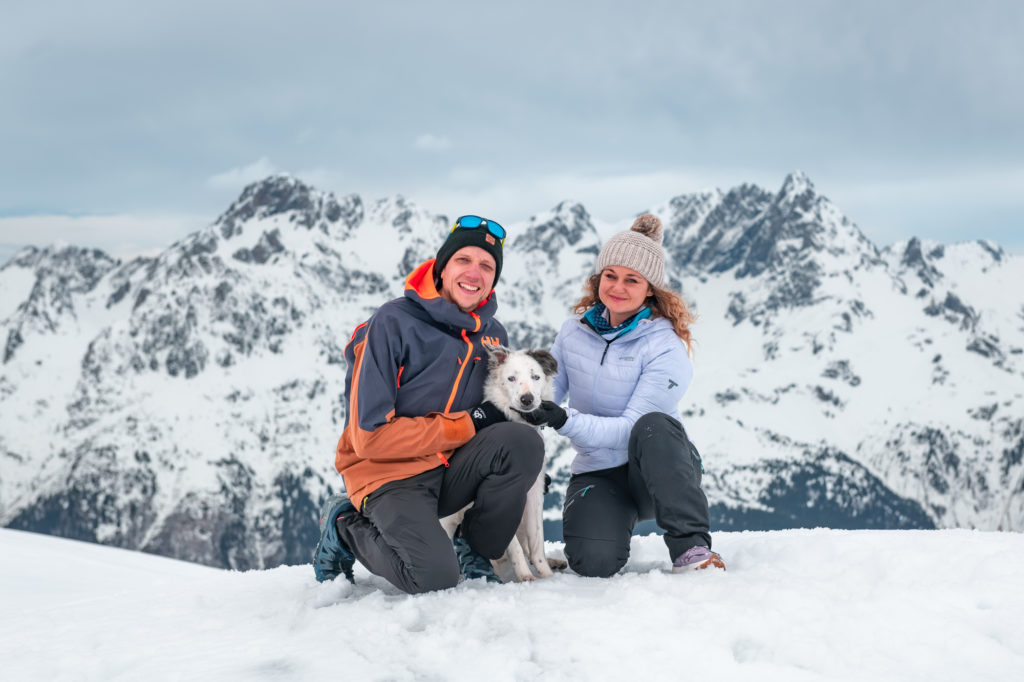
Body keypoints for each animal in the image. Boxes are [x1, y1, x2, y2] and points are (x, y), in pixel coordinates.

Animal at [438, 346, 569, 577]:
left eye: (536, 377)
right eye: (511, 378)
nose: (527, 399)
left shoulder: (534, 493)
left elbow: (537, 542)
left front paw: (546, 575)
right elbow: (511, 543)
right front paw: (525, 576)